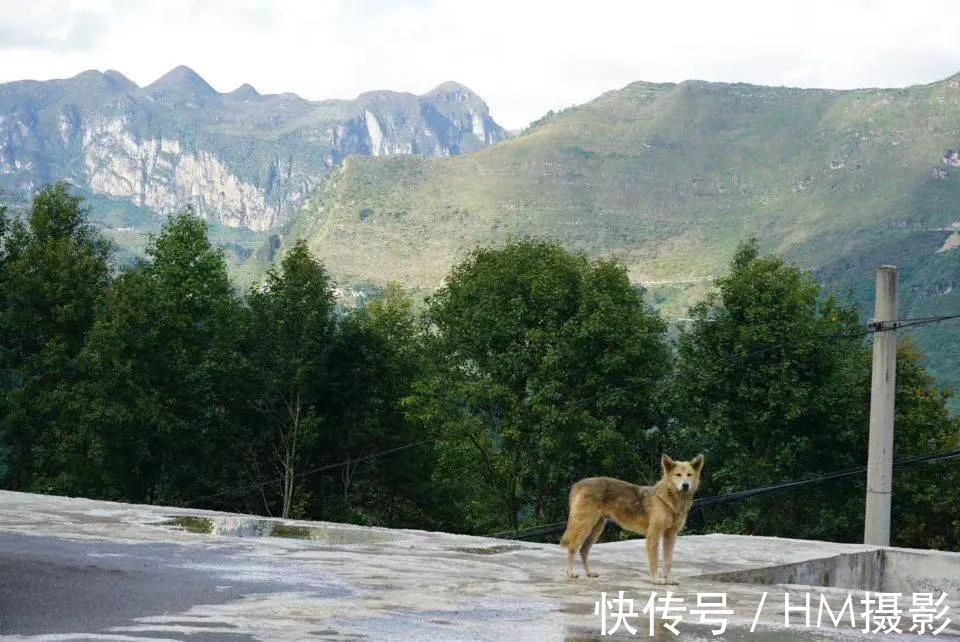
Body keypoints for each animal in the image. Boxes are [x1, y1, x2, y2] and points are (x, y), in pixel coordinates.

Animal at [556, 452, 704, 584]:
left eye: (689, 475)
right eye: (678, 475)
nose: (685, 485)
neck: (670, 500)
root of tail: (579, 483)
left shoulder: (670, 536)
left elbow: (668, 562)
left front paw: (669, 580)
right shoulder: (654, 535)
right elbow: (654, 561)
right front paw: (656, 580)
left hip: (596, 529)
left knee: (583, 550)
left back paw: (589, 573)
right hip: (584, 527)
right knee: (572, 548)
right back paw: (570, 573)